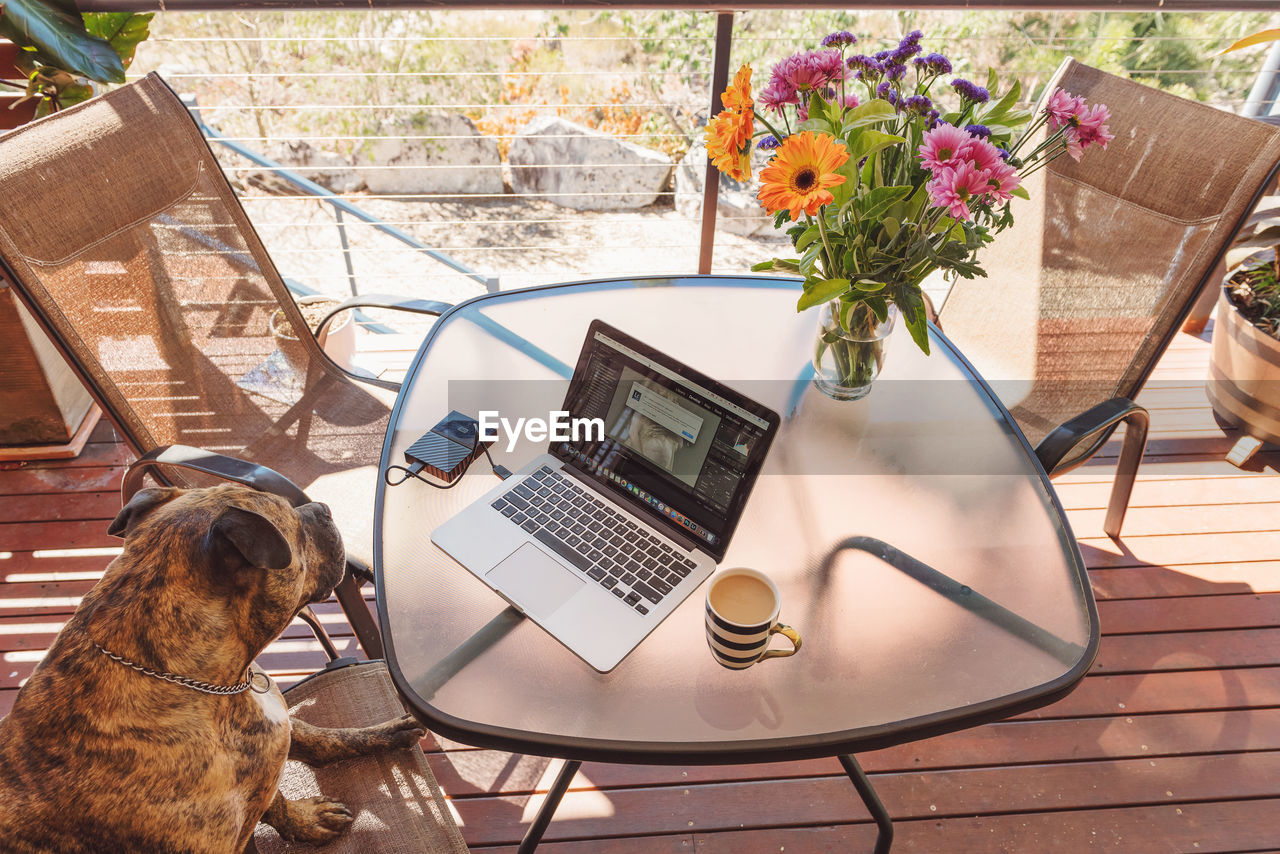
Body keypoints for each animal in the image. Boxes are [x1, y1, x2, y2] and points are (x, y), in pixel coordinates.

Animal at [0, 483, 430, 850]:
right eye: (298, 530)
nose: (322, 508)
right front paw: (307, 821)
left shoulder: (271, 741)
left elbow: (307, 748)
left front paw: (381, 734)